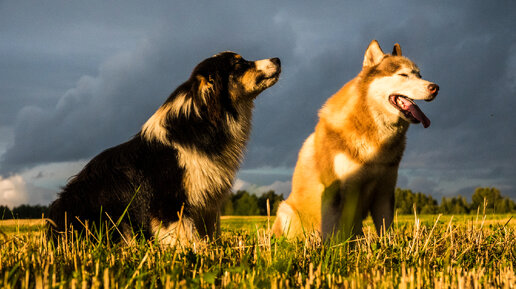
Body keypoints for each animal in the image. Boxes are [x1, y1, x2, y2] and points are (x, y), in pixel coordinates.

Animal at [47, 51, 282, 243]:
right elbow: (187, 239)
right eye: (239, 64)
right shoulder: (170, 203)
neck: (207, 121)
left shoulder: (207, 206)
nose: (277, 59)